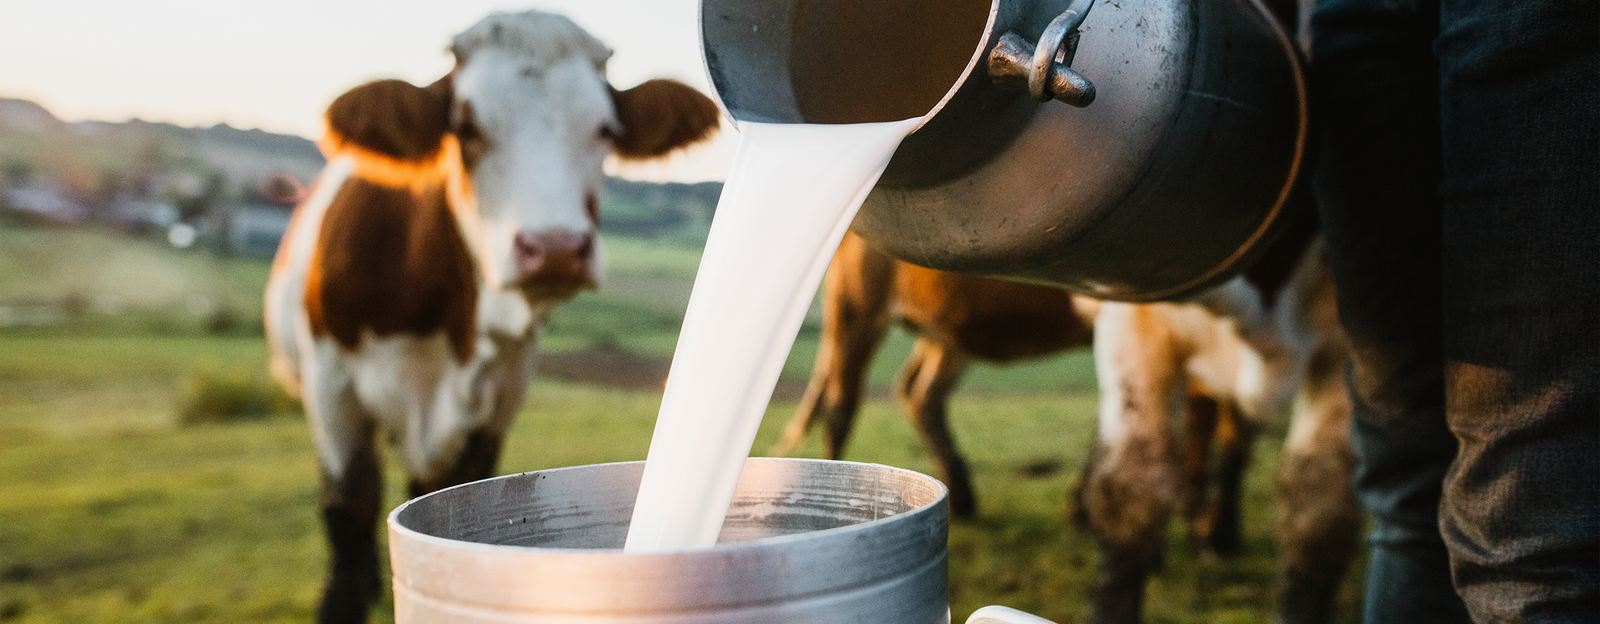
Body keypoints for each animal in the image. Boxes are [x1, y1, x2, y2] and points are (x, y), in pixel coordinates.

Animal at [264, 10, 720, 624]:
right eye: (467, 128)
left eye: (605, 129)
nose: (554, 248)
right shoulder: (330, 383)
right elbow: (350, 507)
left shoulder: (501, 392)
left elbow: (457, 481)